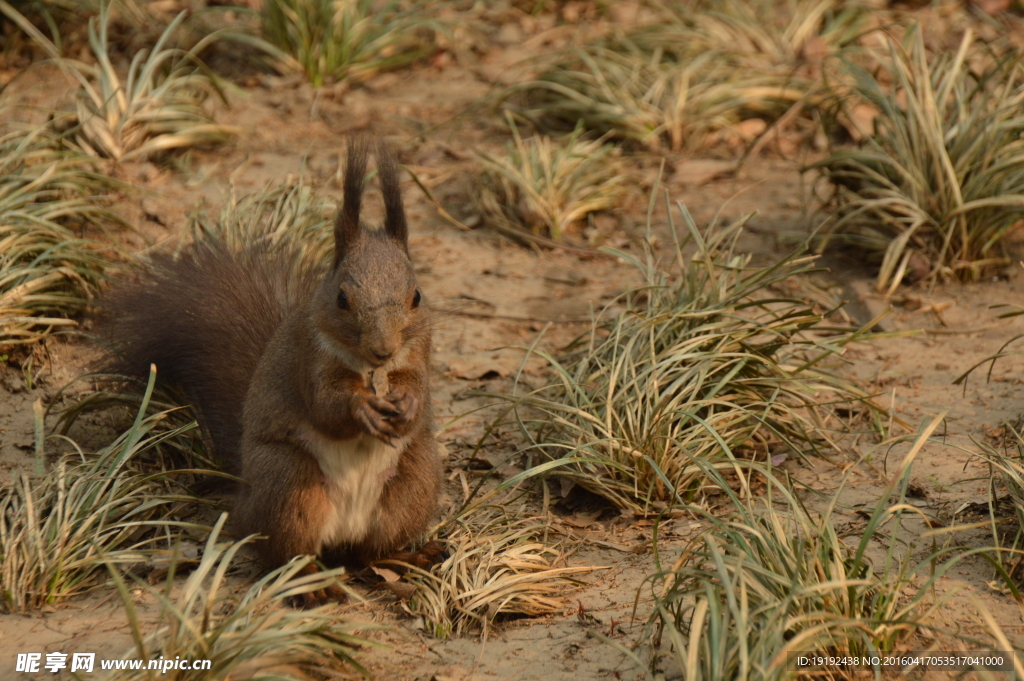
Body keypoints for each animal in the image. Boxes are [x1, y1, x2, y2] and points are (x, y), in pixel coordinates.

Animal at [96, 137, 444, 602]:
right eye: (342, 298)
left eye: (417, 296)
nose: (383, 350)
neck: (370, 371)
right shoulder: (307, 358)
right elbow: (326, 403)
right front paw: (362, 410)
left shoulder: (419, 350)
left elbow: (417, 383)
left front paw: (407, 404)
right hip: (289, 484)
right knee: (288, 551)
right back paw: (310, 583)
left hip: (412, 485)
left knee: (369, 552)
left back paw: (408, 556)